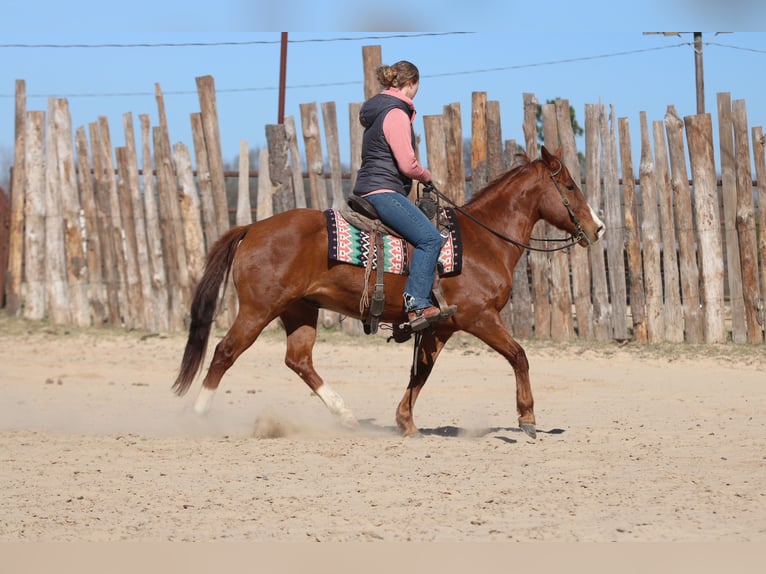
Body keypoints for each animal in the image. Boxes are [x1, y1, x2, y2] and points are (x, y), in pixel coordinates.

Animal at [172, 145, 605, 439]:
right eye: (569, 185)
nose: (597, 227)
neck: (482, 242)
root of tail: (251, 228)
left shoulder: (439, 326)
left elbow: (422, 372)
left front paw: (406, 423)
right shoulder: (478, 316)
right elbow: (519, 356)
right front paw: (527, 419)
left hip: (299, 310)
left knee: (299, 360)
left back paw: (346, 416)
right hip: (258, 309)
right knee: (225, 352)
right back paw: (198, 414)